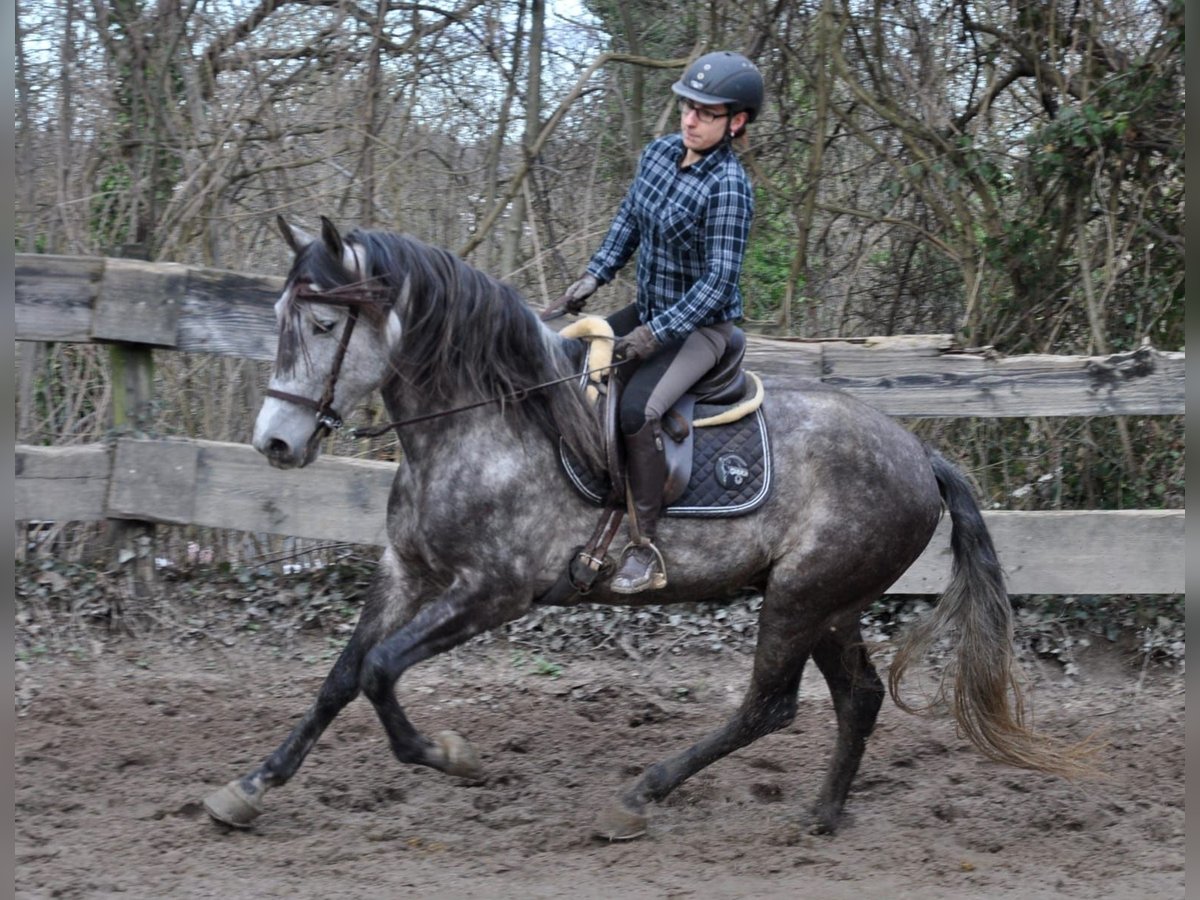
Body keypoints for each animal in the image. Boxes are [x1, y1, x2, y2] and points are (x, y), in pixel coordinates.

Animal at [201, 217, 1084, 840]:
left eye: (323, 327)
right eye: (279, 314)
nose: (275, 443)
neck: (485, 422)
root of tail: (919, 453)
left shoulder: (493, 592)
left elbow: (383, 671)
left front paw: (452, 758)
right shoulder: (404, 569)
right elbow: (343, 676)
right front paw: (248, 788)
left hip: (800, 599)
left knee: (769, 707)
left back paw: (638, 798)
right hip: (833, 605)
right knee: (857, 699)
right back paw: (820, 815)